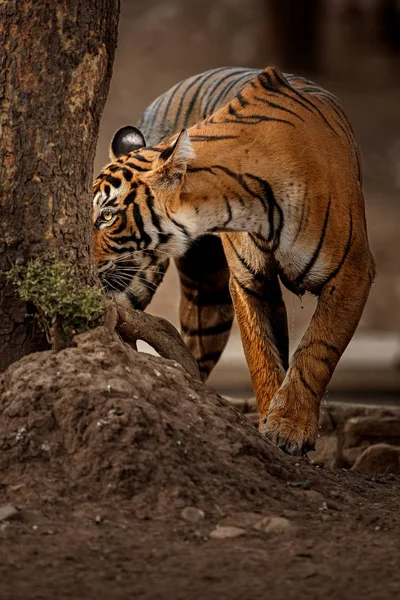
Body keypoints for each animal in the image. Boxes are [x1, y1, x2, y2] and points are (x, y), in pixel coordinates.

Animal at [93, 67, 376, 454]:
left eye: (107, 216)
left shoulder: (352, 273)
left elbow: (317, 348)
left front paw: (289, 427)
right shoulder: (248, 281)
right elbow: (261, 353)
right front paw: (273, 425)